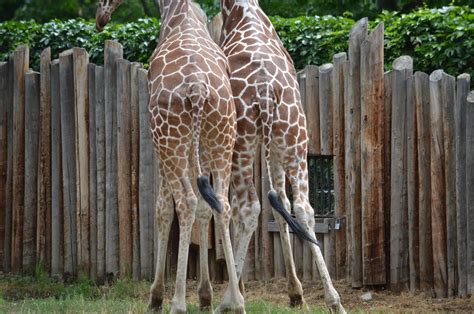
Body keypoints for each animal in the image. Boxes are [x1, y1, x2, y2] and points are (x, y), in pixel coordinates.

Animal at [96, 1, 244, 312]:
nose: (100, 18)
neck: (177, 12)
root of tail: (198, 88)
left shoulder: (161, 145)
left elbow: (162, 208)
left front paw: (156, 296)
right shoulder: (199, 146)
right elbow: (205, 208)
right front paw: (205, 295)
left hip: (168, 140)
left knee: (185, 202)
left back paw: (177, 302)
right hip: (222, 138)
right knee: (221, 203)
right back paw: (237, 301)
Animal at [213, 1, 346, 312]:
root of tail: (264, 90)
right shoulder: (274, 141)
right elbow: (282, 203)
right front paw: (295, 293)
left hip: (242, 143)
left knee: (247, 207)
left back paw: (227, 301)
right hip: (294, 139)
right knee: (303, 208)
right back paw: (334, 300)